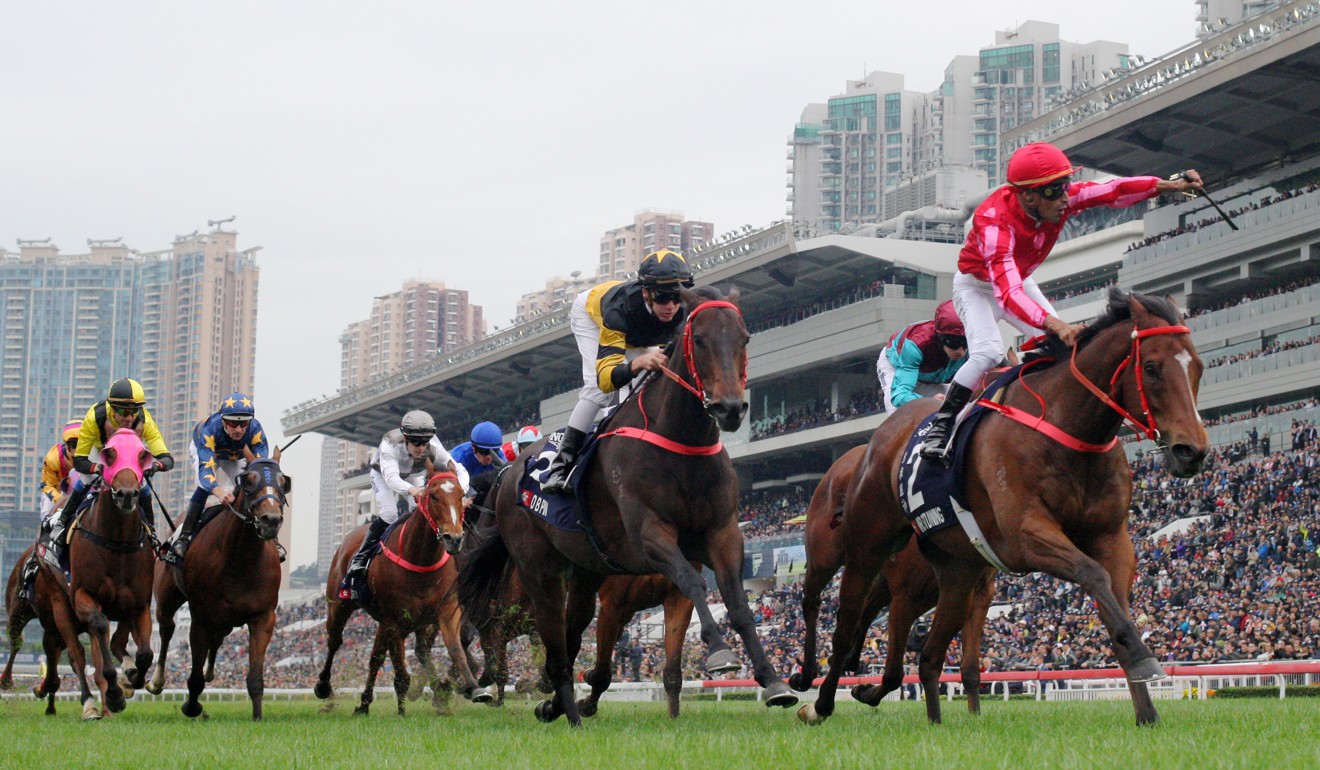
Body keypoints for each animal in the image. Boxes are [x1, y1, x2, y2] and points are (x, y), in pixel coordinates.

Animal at [147, 449, 291, 718]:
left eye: (283, 481)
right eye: (249, 481)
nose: (271, 520)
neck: (240, 559)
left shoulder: (263, 618)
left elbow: (255, 677)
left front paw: (258, 716)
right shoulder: (200, 618)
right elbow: (193, 678)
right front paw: (192, 706)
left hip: (226, 618)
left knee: (218, 638)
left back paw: (210, 671)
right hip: (167, 598)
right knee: (166, 628)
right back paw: (156, 681)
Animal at [314, 456, 480, 718]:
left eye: (461, 494)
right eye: (433, 495)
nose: (453, 539)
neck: (420, 559)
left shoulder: (445, 612)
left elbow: (455, 648)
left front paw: (472, 688)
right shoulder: (395, 620)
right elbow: (400, 668)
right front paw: (404, 708)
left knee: (378, 657)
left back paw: (365, 703)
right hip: (339, 605)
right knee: (335, 641)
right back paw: (324, 688)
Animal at [459, 285, 797, 729]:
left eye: (744, 338)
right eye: (699, 339)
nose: (730, 408)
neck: (681, 443)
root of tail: (509, 473)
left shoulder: (722, 534)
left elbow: (736, 602)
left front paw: (773, 682)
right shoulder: (647, 539)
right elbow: (693, 582)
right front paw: (721, 653)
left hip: (585, 571)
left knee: (568, 634)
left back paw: (552, 704)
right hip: (539, 571)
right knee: (550, 646)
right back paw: (567, 713)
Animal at [786, 446, 992, 713]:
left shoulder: (977, 593)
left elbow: (970, 669)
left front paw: (974, 714)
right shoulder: (908, 596)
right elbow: (894, 673)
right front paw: (864, 692)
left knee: (864, 610)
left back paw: (845, 659)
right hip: (824, 558)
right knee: (812, 602)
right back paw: (807, 675)